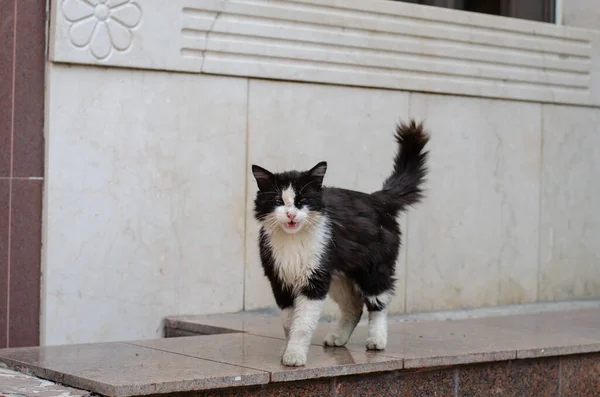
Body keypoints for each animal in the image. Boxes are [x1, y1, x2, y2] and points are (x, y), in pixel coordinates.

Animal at [251, 120, 428, 366]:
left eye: (302, 200)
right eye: (278, 201)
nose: (291, 214)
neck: (294, 240)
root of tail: (376, 199)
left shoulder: (315, 281)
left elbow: (302, 325)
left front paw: (295, 355)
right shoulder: (279, 279)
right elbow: (289, 323)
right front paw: (288, 349)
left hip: (373, 269)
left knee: (378, 304)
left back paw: (377, 340)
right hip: (339, 276)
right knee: (354, 307)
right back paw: (339, 338)